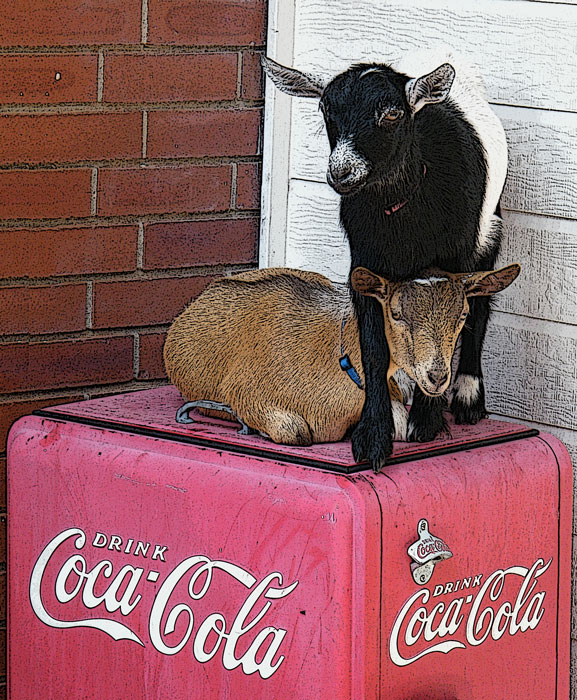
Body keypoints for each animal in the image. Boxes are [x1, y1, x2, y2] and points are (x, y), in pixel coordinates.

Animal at [164, 264, 520, 454]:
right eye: (396, 314)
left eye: (463, 315)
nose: (436, 376)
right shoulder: (245, 392)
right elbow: (295, 431)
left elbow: (399, 425)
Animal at [264, 52, 506, 474]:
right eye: (325, 110)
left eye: (392, 113)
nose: (341, 172)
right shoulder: (365, 264)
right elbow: (374, 346)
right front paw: (374, 435)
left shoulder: (456, 260)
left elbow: (452, 324)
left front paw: (426, 421)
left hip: (489, 228)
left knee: (481, 306)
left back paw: (467, 396)